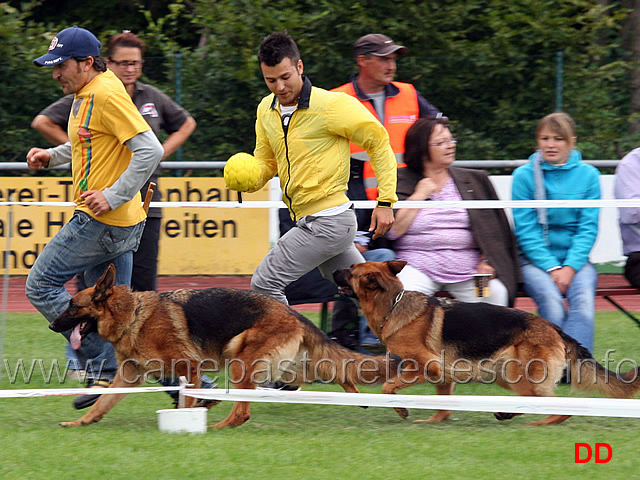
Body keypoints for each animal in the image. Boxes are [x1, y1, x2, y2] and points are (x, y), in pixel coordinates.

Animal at [50, 266, 398, 428]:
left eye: (72, 305)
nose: (52, 325)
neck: (133, 314)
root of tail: (294, 314)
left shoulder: (188, 368)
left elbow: (187, 402)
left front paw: (187, 422)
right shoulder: (128, 377)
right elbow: (102, 403)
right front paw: (81, 423)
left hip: (240, 357)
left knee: (243, 411)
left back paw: (219, 426)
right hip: (292, 365)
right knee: (336, 370)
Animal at [332, 260, 640, 426]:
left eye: (351, 270)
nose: (333, 270)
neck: (393, 304)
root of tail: (555, 327)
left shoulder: (428, 367)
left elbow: (388, 385)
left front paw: (401, 408)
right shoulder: (443, 376)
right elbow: (443, 407)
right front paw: (433, 421)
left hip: (520, 377)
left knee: (560, 407)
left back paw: (536, 422)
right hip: (507, 376)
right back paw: (508, 413)